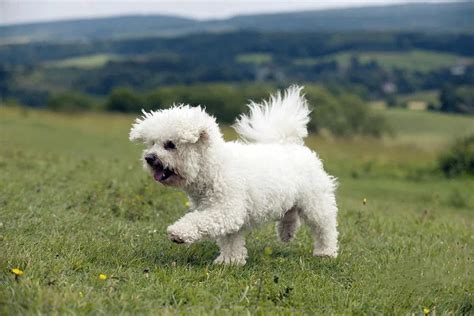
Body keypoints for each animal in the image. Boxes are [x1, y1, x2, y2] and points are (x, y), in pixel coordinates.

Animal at [129, 86, 336, 264]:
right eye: (152, 143)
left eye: (170, 145)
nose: (149, 158)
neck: (215, 167)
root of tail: (290, 144)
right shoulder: (230, 213)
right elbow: (231, 239)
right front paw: (230, 262)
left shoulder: (226, 208)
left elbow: (200, 221)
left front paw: (179, 233)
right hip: (290, 198)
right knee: (290, 214)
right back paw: (286, 233)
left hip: (315, 202)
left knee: (325, 227)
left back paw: (326, 252)